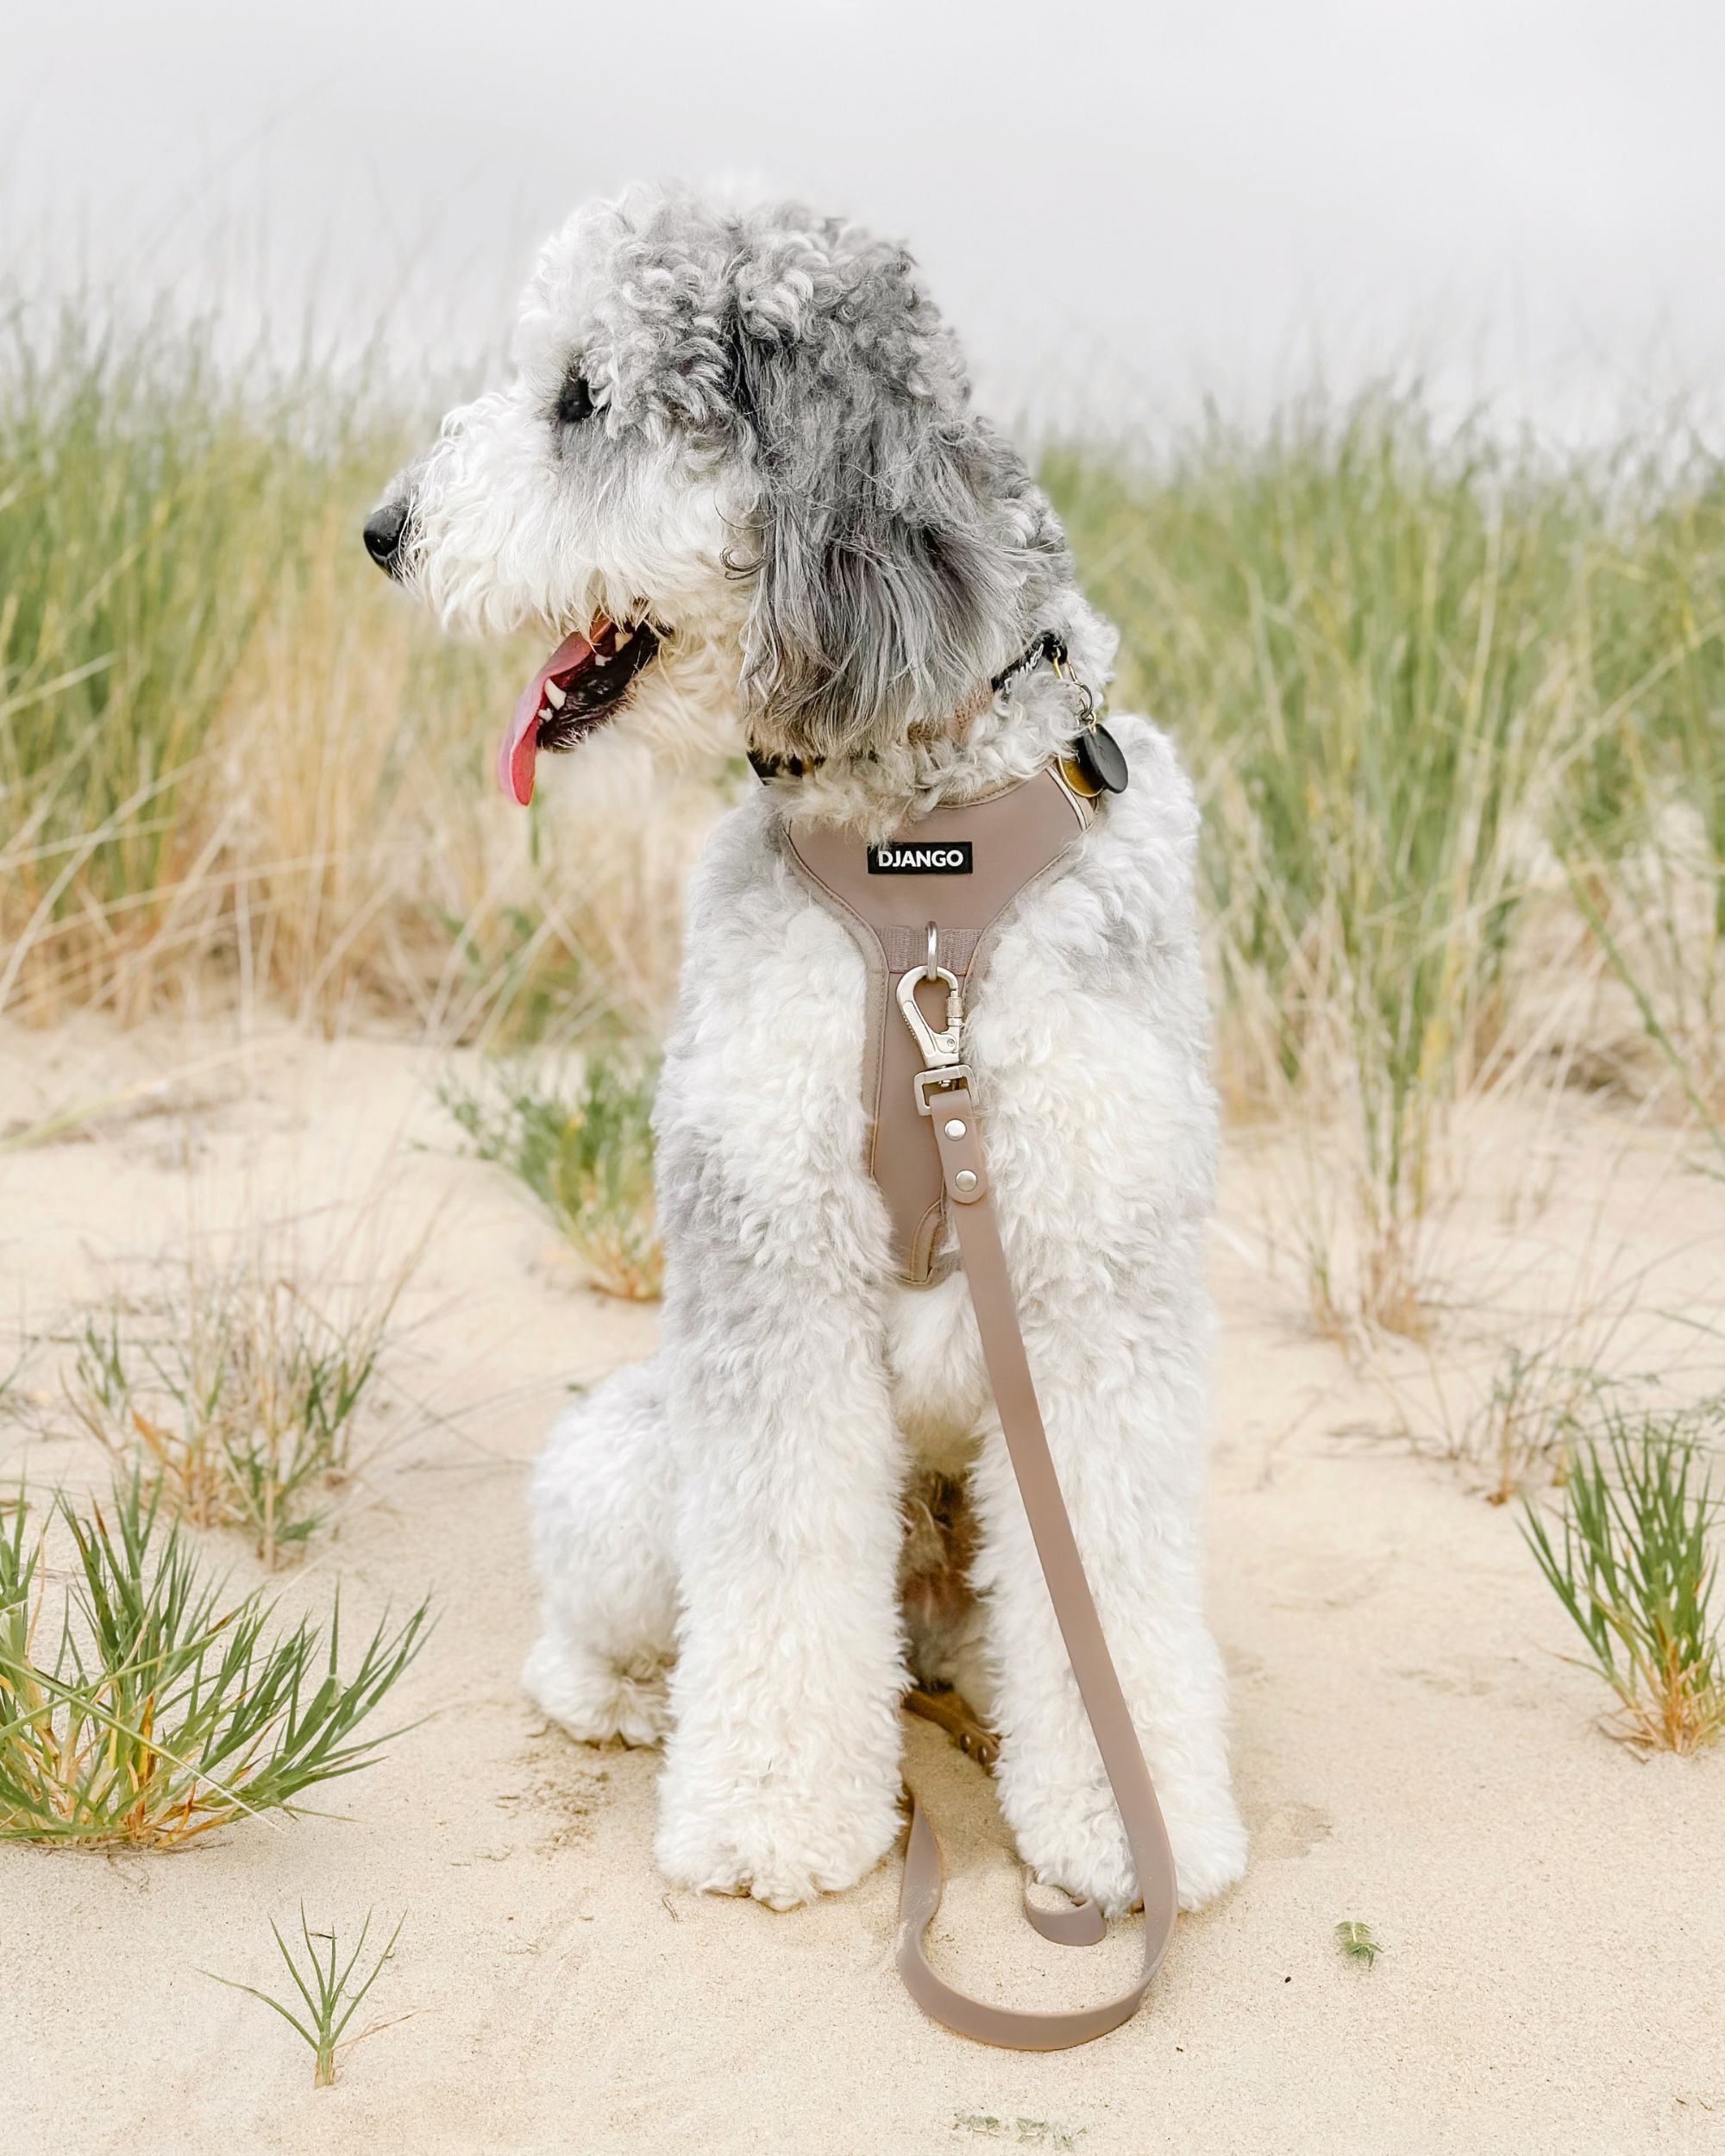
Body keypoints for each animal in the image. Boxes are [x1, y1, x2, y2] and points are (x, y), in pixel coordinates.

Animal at [364, 181, 1251, 1906]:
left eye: (582, 397)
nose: (383, 531)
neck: (922, 859)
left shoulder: (1096, 1279)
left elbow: (1112, 1580)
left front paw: (1132, 1821)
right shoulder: (768, 1244)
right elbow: (777, 1564)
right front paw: (772, 1811)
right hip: (629, 1466)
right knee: (597, 1629)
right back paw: (629, 1698)